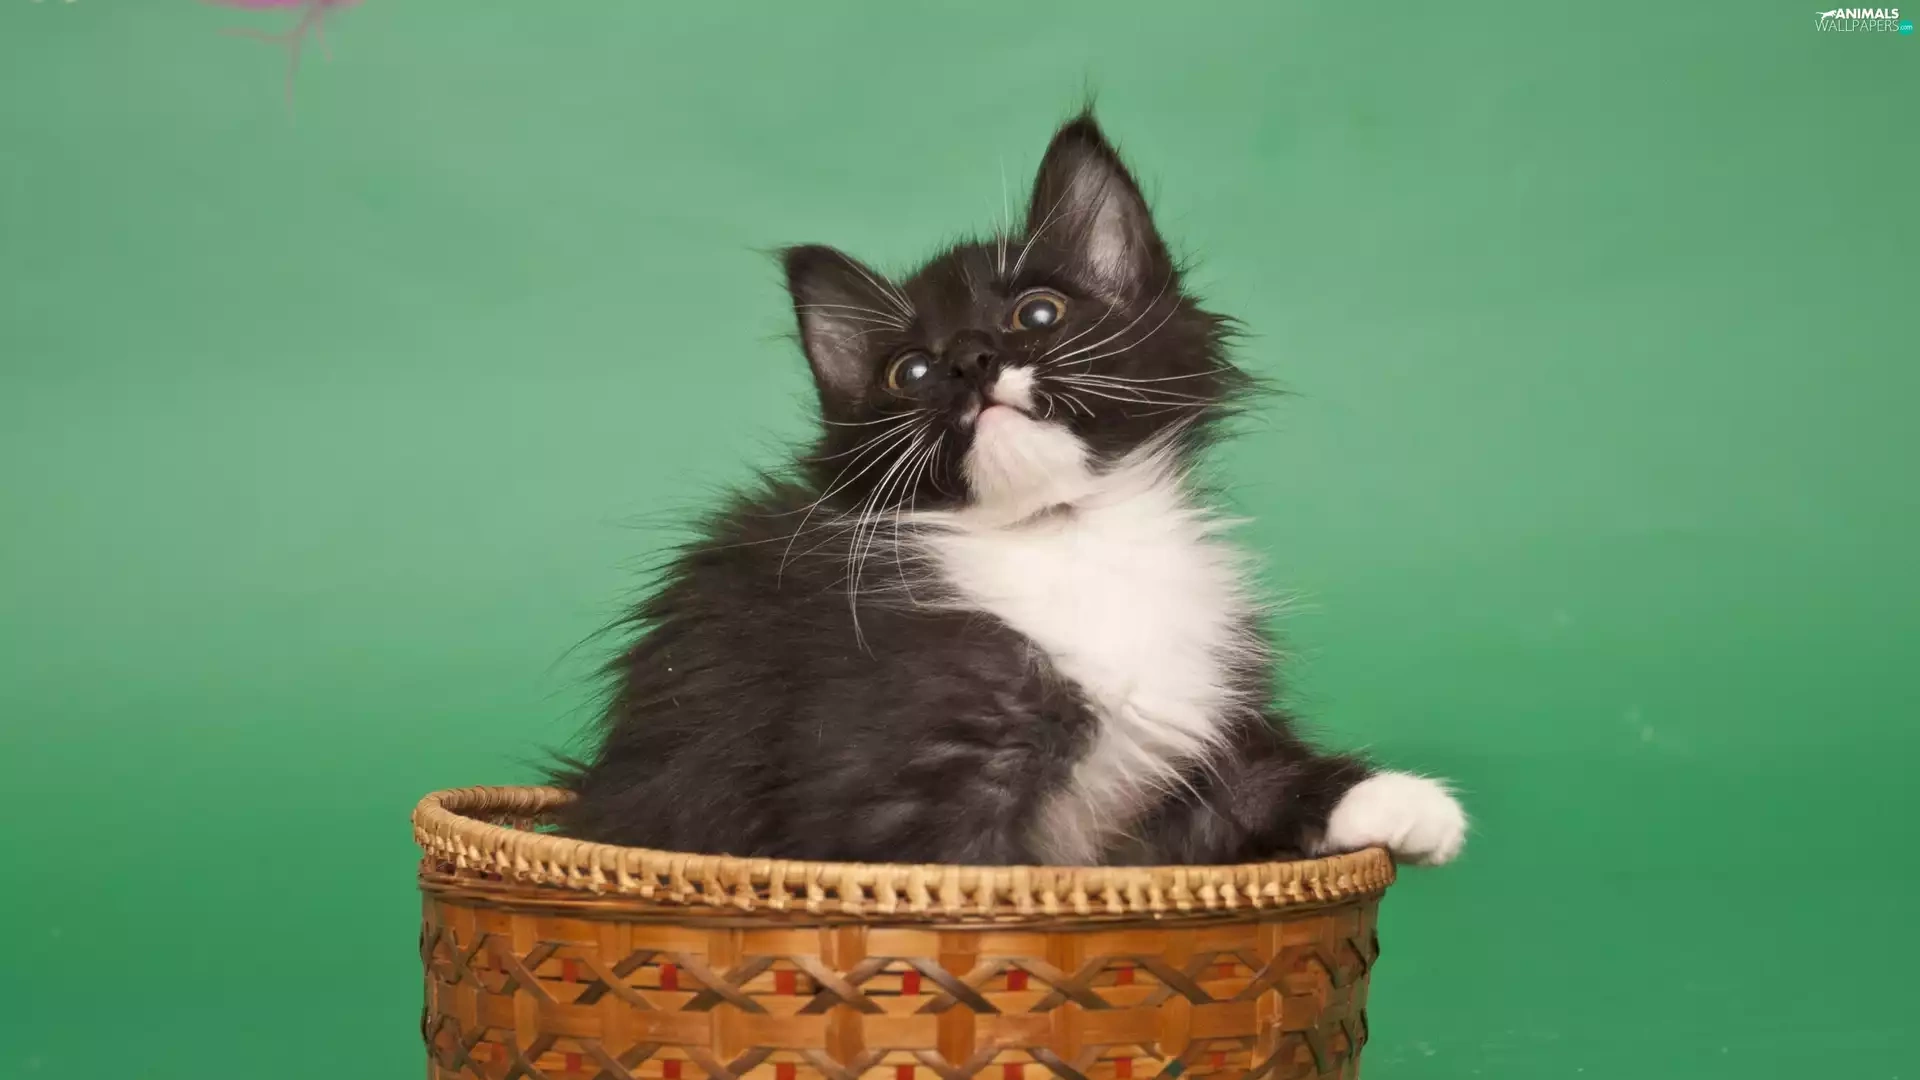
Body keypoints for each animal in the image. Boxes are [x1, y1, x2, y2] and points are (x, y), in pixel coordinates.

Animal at [551, 112, 1466, 868]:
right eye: (911, 371)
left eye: (1038, 314)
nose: (969, 359)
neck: (1063, 534)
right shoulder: (898, 788)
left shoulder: (1179, 771)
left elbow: (1247, 785)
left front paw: (1400, 801)